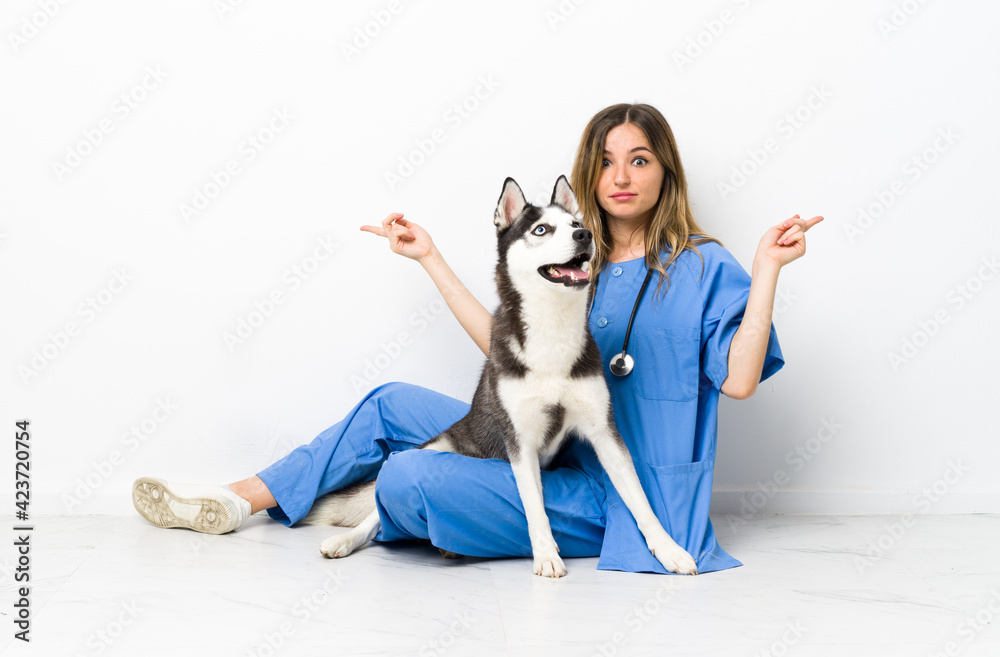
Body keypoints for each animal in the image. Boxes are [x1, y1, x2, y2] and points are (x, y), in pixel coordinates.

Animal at [308, 177, 700, 576]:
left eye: (575, 224)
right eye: (541, 230)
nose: (585, 235)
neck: (552, 331)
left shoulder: (603, 431)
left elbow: (639, 499)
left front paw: (669, 549)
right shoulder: (520, 440)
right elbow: (534, 507)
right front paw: (546, 555)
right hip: (433, 448)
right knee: (378, 507)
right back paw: (347, 539)